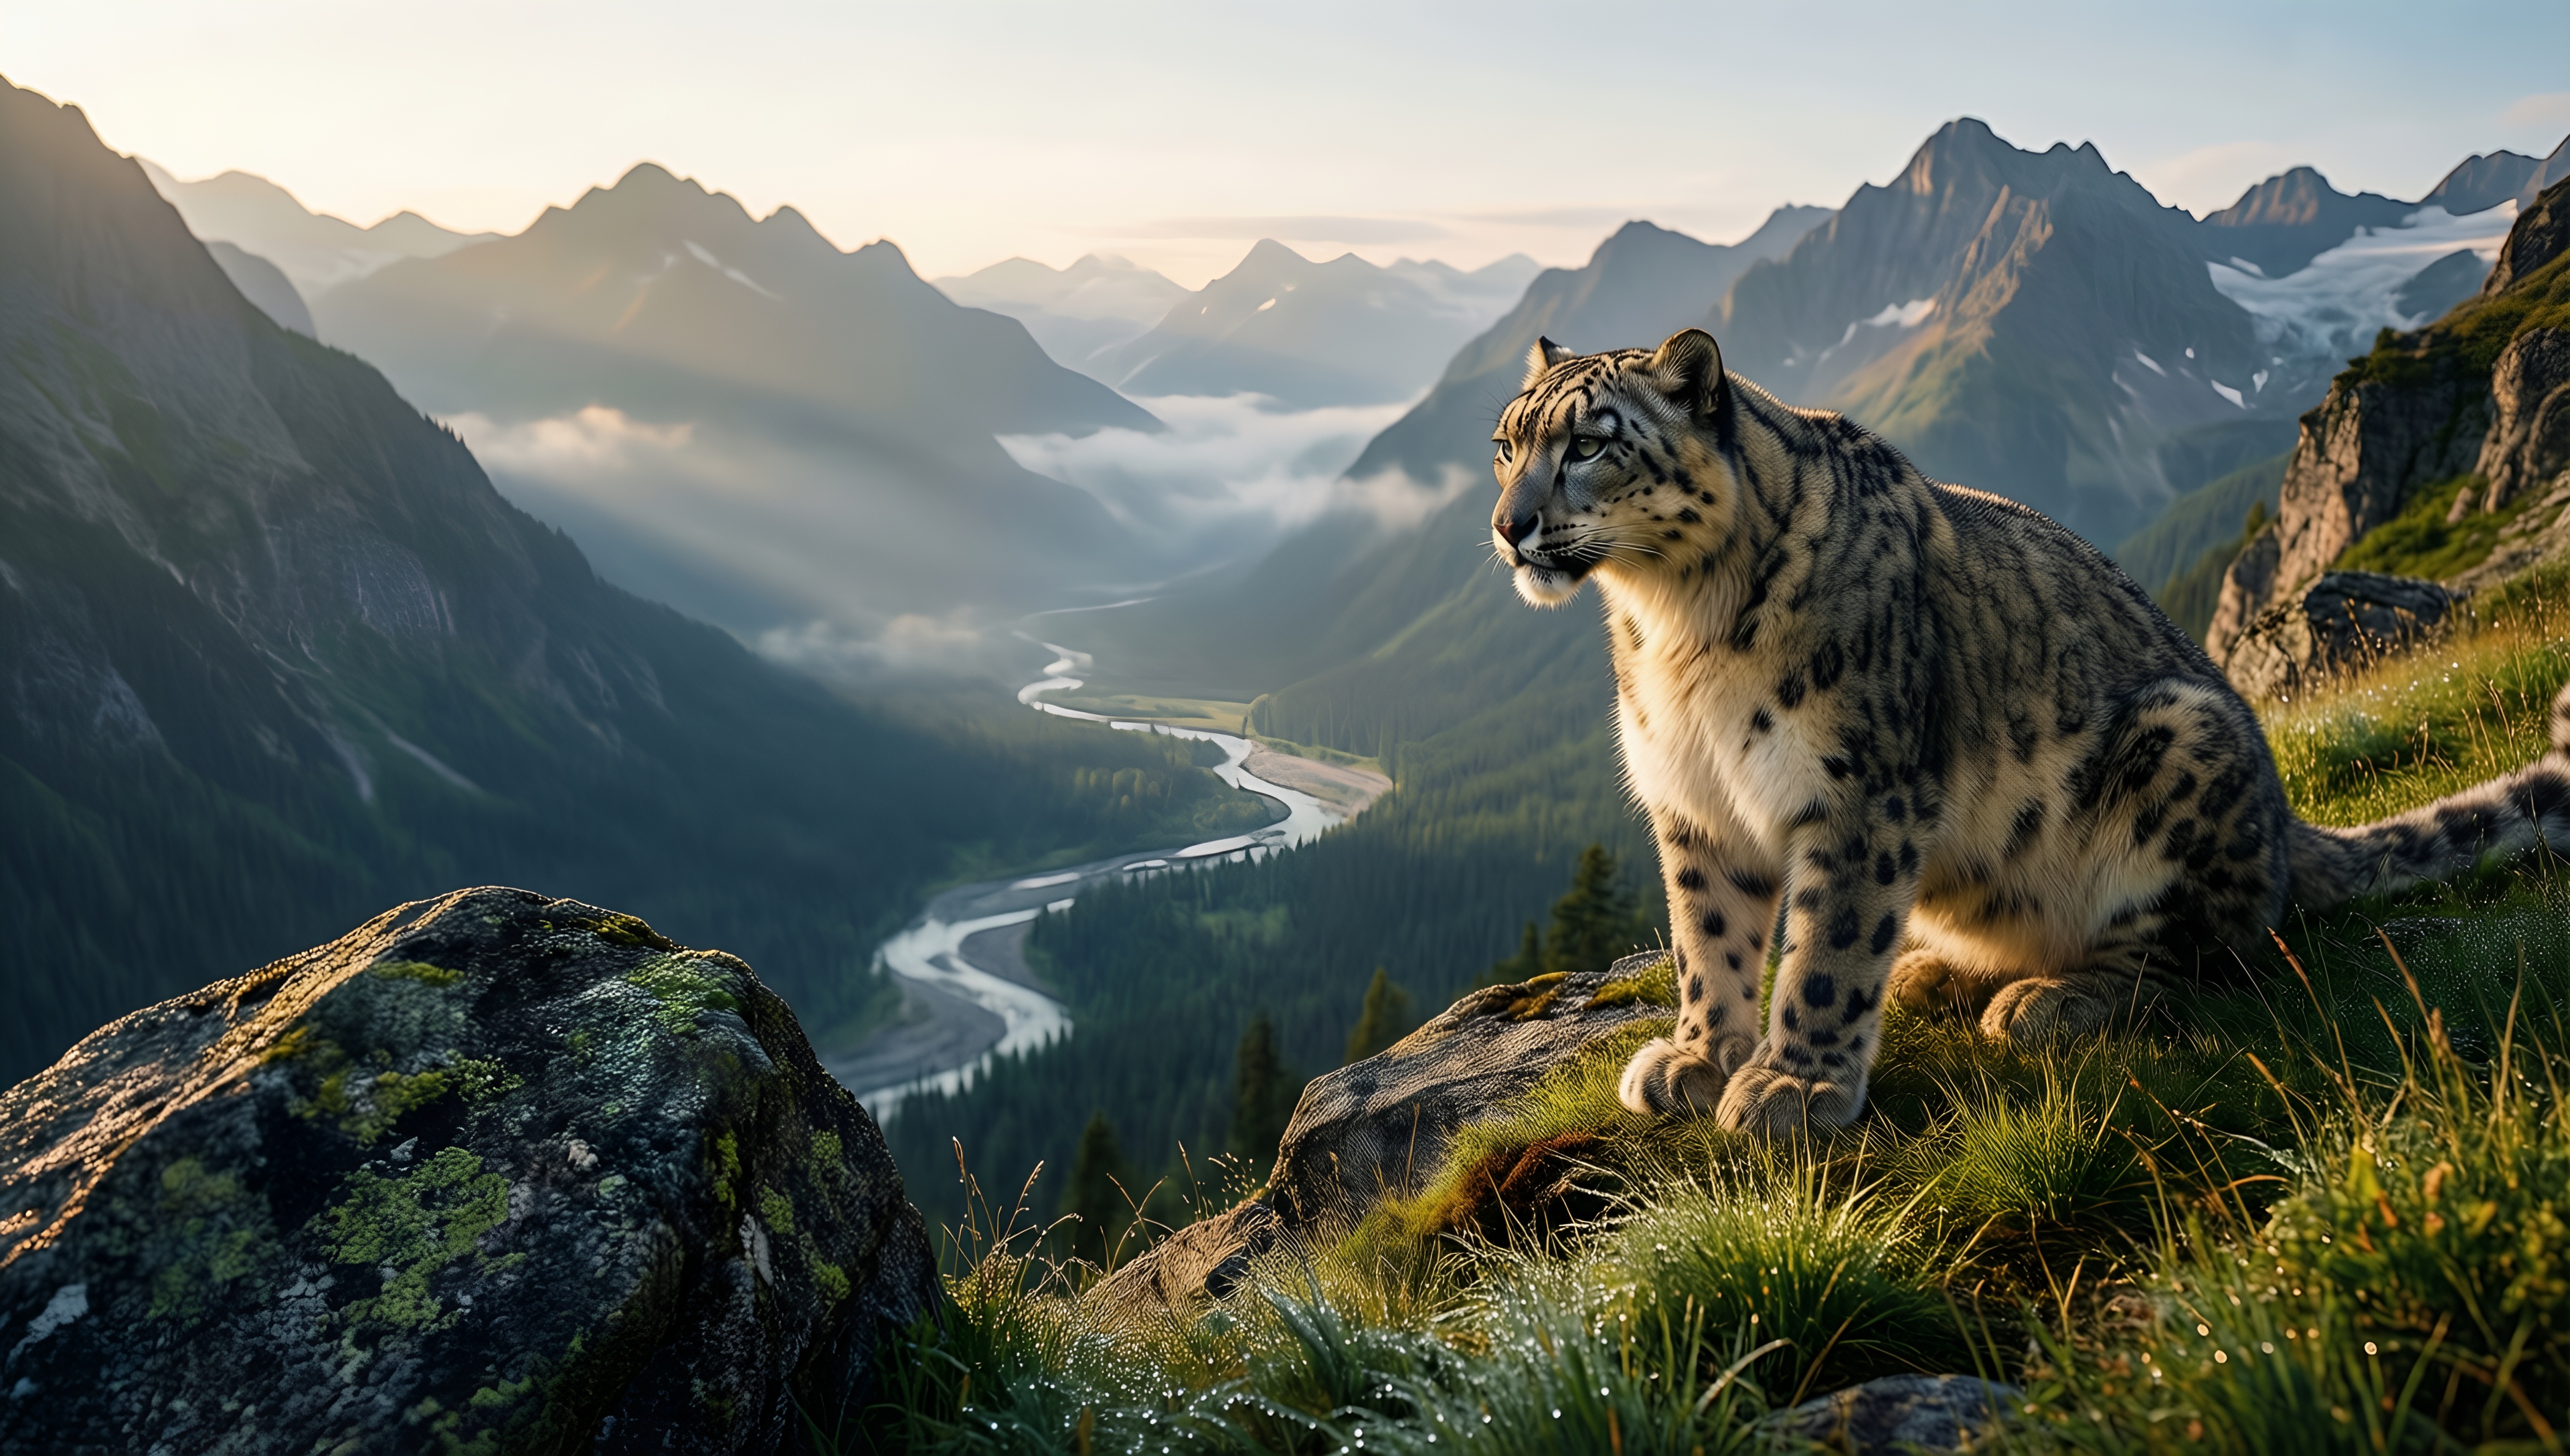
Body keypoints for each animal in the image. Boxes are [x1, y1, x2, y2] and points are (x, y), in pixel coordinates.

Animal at [1490, 327, 2570, 1136]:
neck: (1675, 625)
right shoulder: (1695, 802)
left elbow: (1830, 944)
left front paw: (1796, 1083)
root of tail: (2284, 822)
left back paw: (2047, 999)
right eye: (1506, 445)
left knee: (2200, 952)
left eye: (1589, 444)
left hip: (2179, 747)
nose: (1507, 526)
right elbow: (1708, 936)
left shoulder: (1857, 792)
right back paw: (1932, 971)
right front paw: (1699, 1056)